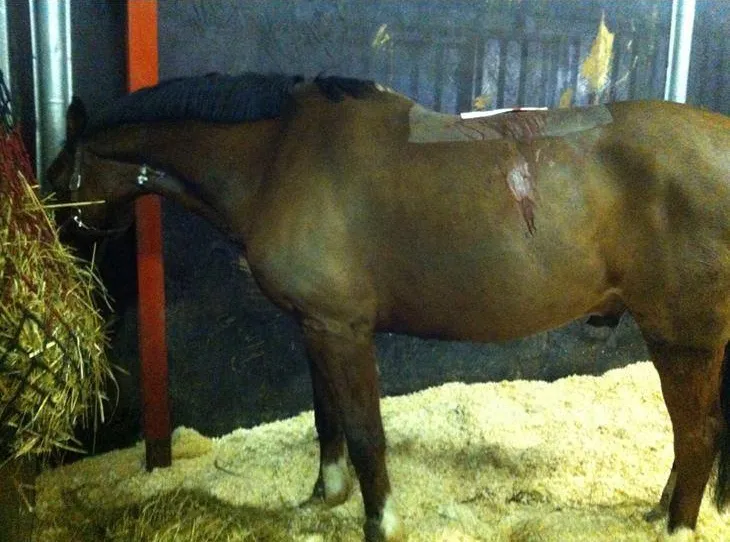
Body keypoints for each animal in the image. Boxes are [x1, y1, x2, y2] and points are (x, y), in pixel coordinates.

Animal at [47, 72, 730, 541]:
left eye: (55, 181)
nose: (56, 244)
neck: (277, 158)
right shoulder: (316, 326)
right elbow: (328, 419)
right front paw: (323, 495)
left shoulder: (342, 329)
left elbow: (366, 433)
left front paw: (381, 522)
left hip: (682, 336)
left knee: (697, 435)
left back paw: (676, 526)